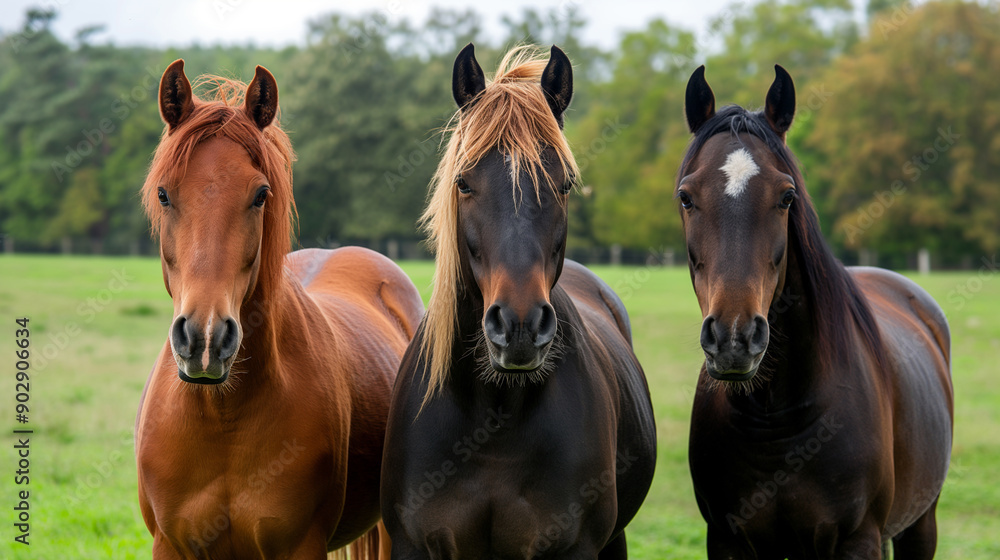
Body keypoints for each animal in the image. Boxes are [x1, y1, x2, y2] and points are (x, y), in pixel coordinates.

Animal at [135, 60, 424, 559]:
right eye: (164, 194)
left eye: (260, 194)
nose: (205, 340)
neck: (222, 419)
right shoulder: (170, 545)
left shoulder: (301, 545)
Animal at [677, 64, 954, 559]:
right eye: (686, 197)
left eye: (787, 196)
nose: (734, 339)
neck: (778, 420)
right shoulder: (727, 540)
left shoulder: (858, 540)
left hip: (922, 524)